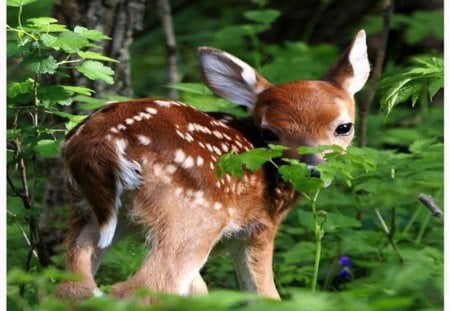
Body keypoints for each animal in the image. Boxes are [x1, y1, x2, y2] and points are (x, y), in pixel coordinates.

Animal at [55, 29, 370, 302]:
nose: (312, 170)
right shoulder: (259, 226)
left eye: (344, 127)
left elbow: (199, 290)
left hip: (92, 212)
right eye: (270, 133)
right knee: (143, 289)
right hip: (194, 215)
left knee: (72, 287)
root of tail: (99, 143)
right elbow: (264, 294)